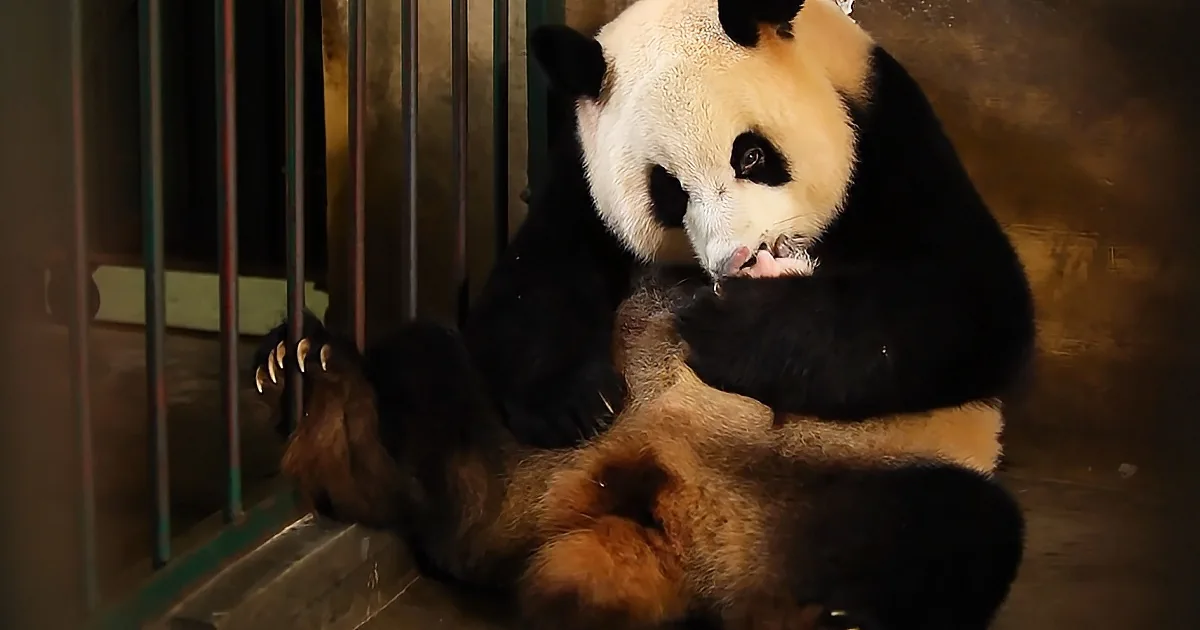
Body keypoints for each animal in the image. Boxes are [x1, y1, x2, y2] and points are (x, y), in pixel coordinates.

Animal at [255, 0, 1036, 628]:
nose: (737, 260)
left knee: (955, 531)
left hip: (856, 476)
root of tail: (669, 523)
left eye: (752, 155)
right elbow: (531, 283)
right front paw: (576, 399)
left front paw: (729, 330)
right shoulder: (578, 170)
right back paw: (325, 400)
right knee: (432, 390)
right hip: (519, 461)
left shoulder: (889, 137)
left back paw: (842, 617)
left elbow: (966, 307)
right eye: (666, 190)